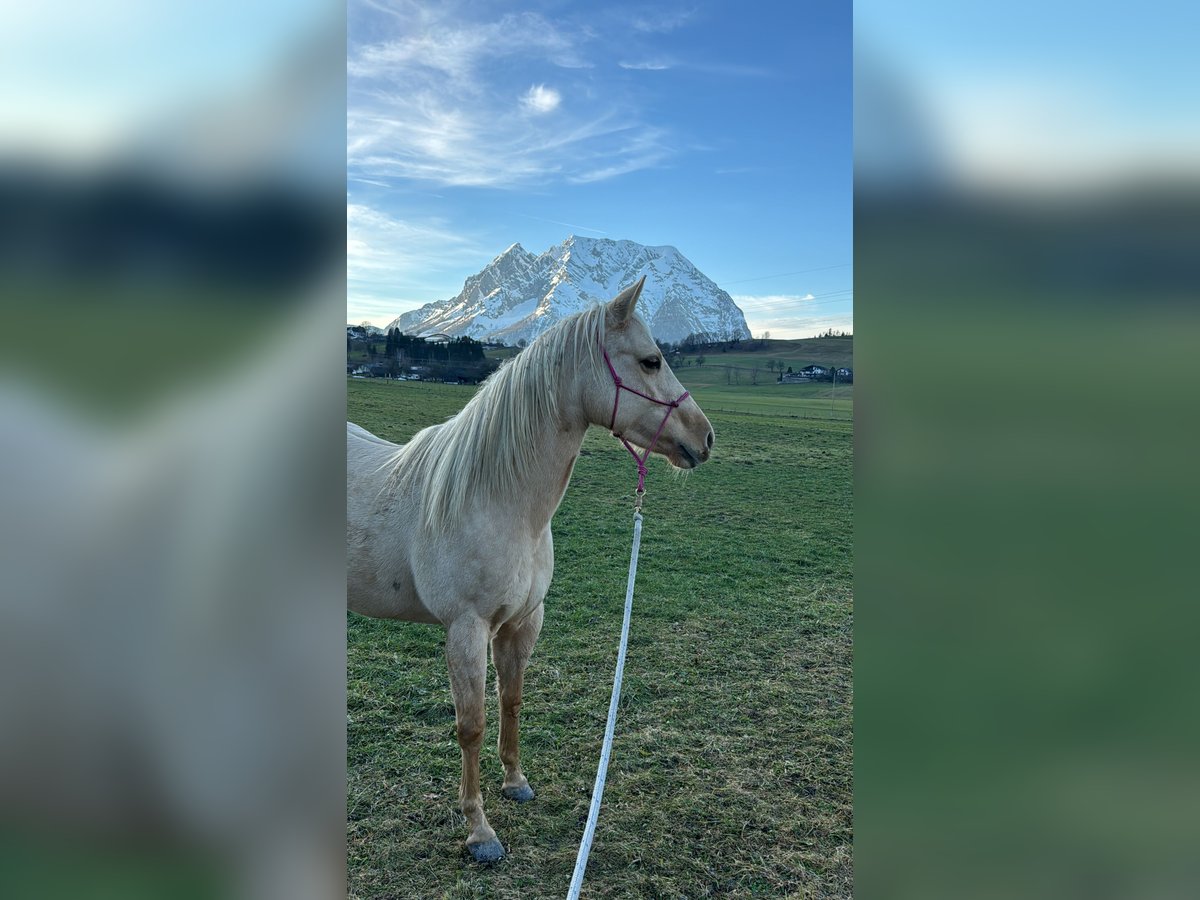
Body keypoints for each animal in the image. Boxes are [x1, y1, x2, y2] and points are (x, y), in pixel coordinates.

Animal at [348, 277, 715, 868]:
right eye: (651, 360)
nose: (705, 437)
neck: (499, 500)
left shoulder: (522, 623)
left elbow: (512, 702)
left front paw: (515, 783)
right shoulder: (466, 630)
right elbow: (471, 726)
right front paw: (479, 831)